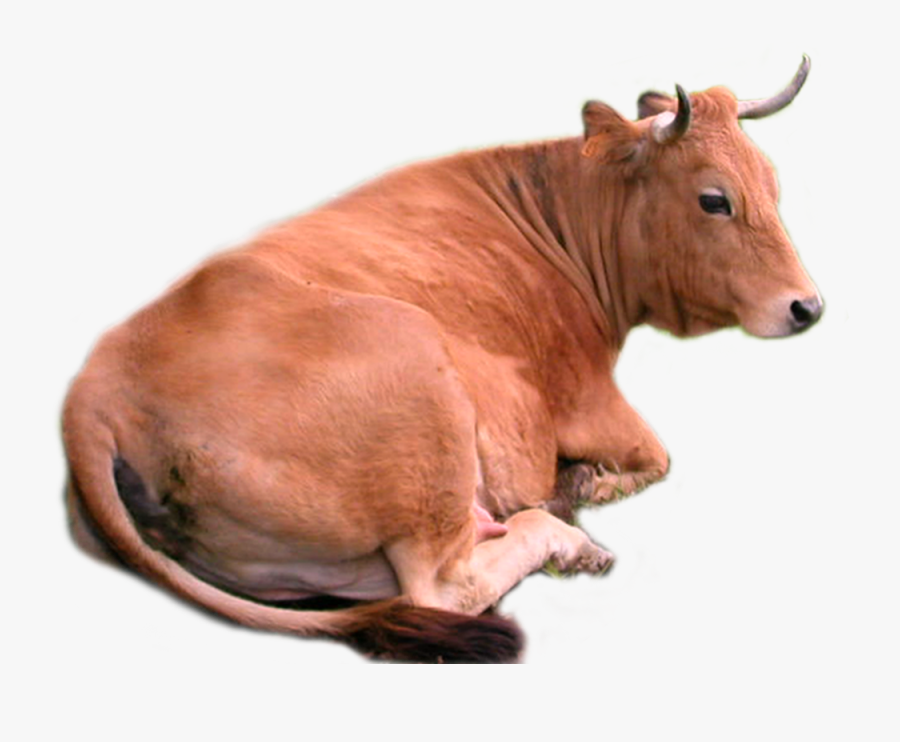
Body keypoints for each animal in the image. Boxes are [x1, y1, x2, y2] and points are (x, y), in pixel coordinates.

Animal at [62, 57, 822, 663]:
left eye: (774, 186)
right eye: (714, 199)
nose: (807, 307)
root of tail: (94, 390)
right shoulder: (589, 399)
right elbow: (657, 458)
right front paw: (588, 485)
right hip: (420, 383)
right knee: (442, 586)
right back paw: (568, 533)